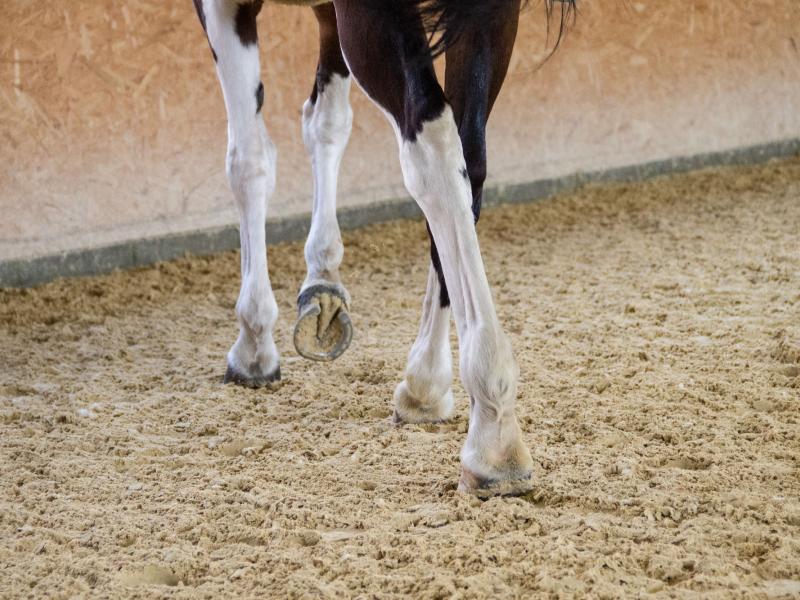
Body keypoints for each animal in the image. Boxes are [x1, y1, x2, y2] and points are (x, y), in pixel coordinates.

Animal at [192, 0, 576, 496]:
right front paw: (323, 279)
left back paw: (492, 430)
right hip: (492, 22)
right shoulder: (326, 15)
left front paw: (255, 340)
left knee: (430, 145)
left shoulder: (225, 7)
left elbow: (249, 160)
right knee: (468, 160)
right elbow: (326, 122)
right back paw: (427, 382)